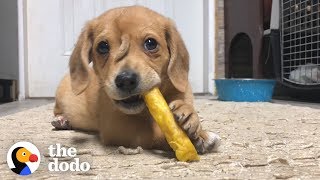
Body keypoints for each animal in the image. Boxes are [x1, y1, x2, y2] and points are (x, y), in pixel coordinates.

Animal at [53, 6, 220, 154]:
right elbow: (154, 132)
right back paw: (61, 120)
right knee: (56, 110)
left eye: (151, 43)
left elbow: (184, 105)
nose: (126, 80)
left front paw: (190, 116)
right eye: (102, 46)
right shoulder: (117, 127)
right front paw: (196, 139)